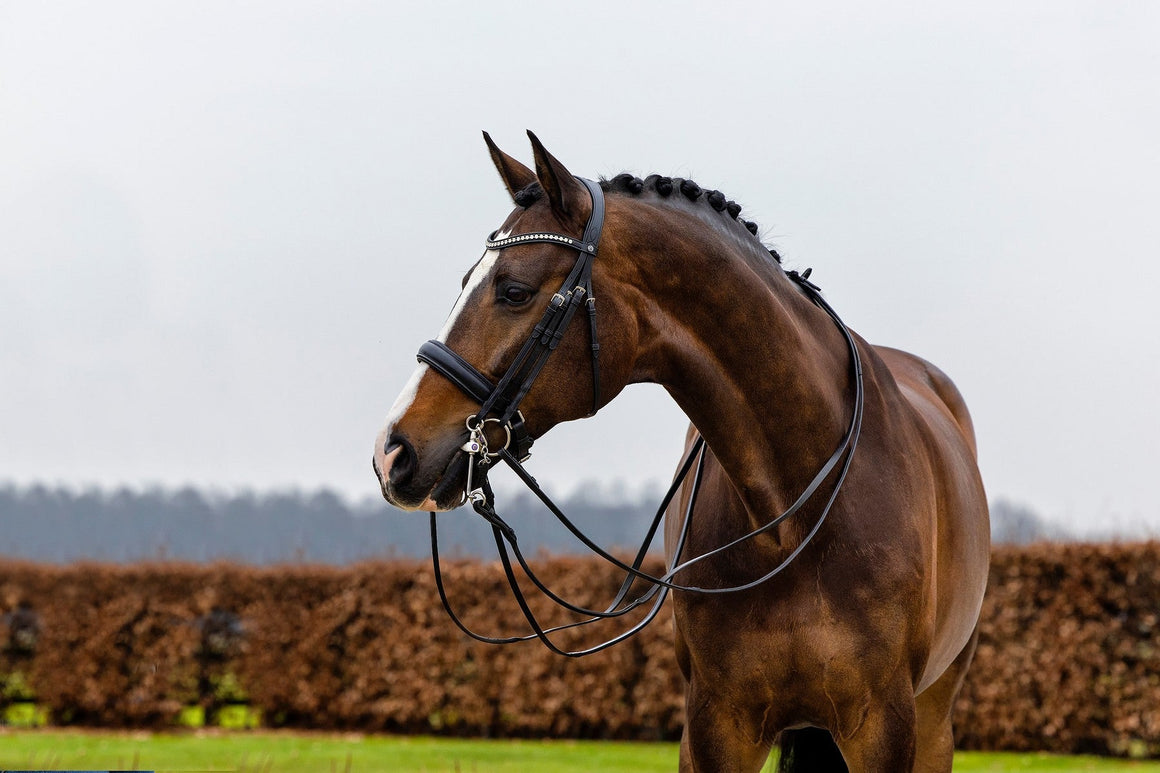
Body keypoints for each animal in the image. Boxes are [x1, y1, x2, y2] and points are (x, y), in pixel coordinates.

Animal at [372, 131, 990, 772]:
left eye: (513, 291)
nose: (393, 451)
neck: (796, 518)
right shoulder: (717, 725)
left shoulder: (884, 726)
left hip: (934, 721)